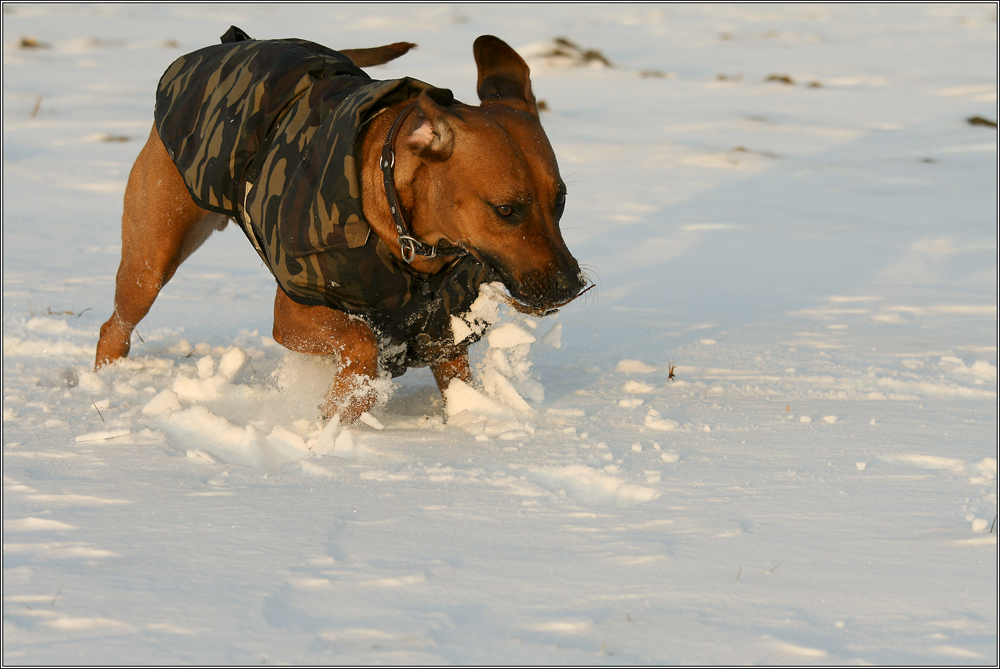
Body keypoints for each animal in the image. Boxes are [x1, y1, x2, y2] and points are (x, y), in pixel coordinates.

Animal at [94, 30, 584, 422]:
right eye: (506, 210)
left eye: (560, 200)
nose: (571, 285)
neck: (409, 244)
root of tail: (234, 43)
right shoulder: (294, 313)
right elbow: (361, 341)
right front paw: (335, 418)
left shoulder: (444, 330)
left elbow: (457, 384)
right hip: (152, 253)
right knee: (115, 326)